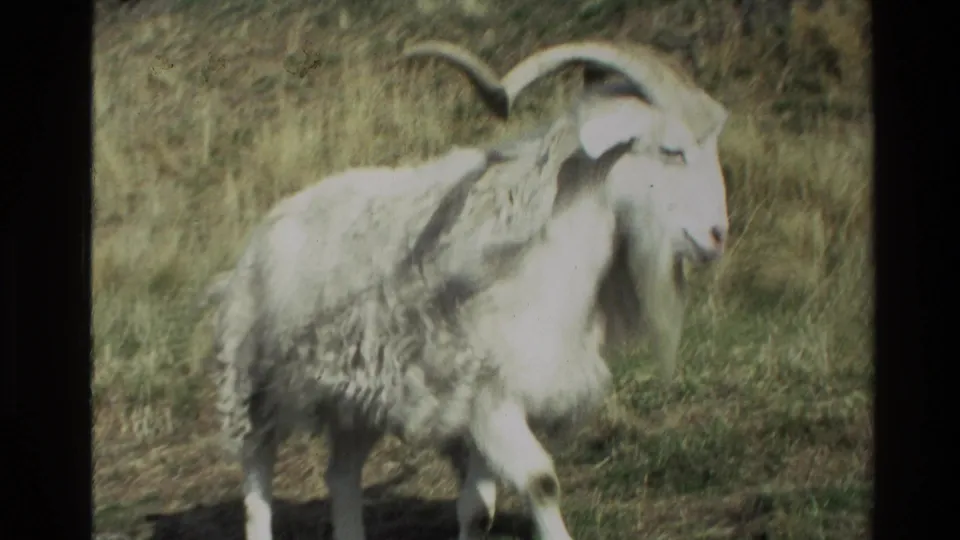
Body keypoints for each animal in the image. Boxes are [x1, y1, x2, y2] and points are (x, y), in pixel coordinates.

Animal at [203, 39, 730, 540]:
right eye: (672, 150)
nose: (717, 235)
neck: (544, 254)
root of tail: (270, 224)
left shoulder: (480, 407)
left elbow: (478, 510)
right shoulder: (492, 398)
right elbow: (541, 482)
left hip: (354, 400)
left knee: (342, 474)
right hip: (254, 380)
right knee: (256, 473)